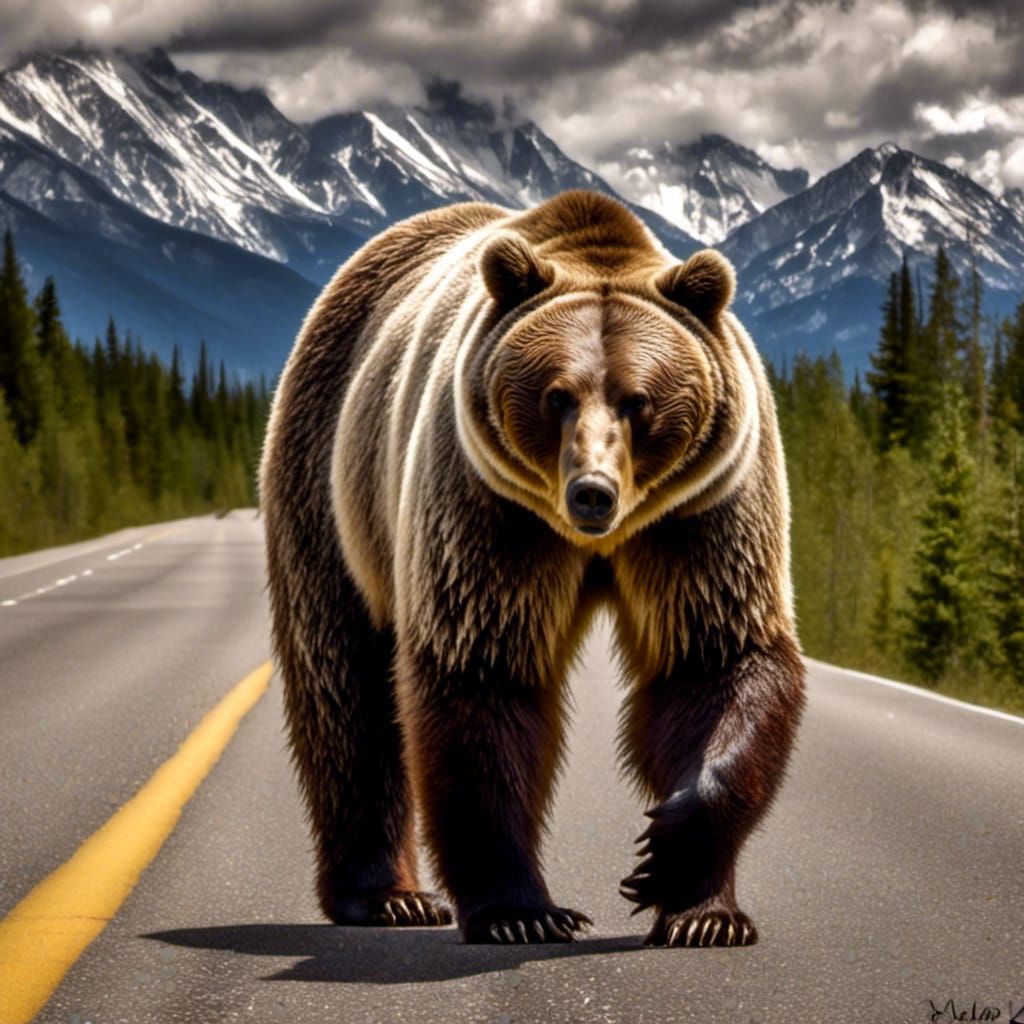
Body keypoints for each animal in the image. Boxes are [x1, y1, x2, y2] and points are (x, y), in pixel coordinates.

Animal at [259, 189, 806, 947]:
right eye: (557, 395)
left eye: (639, 399)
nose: (592, 492)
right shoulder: (488, 510)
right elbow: (484, 673)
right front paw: (522, 912)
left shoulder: (702, 512)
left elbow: (715, 660)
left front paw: (688, 896)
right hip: (332, 483)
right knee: (344, 684)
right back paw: (387, 896)